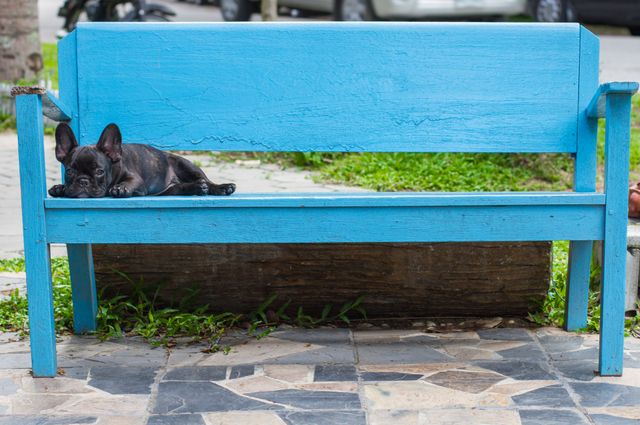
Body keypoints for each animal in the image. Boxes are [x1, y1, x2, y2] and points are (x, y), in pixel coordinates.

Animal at [48, 122, 236, 199]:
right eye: (69, 172)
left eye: (99, 171)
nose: (83, 181)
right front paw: (59, 188)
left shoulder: (136, 179)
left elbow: (129, 182)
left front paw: (120, 188)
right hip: (170, 190)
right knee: (181, 188)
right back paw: (196, 188)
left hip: (185, 164)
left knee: (206, 180)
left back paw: (221, 187)